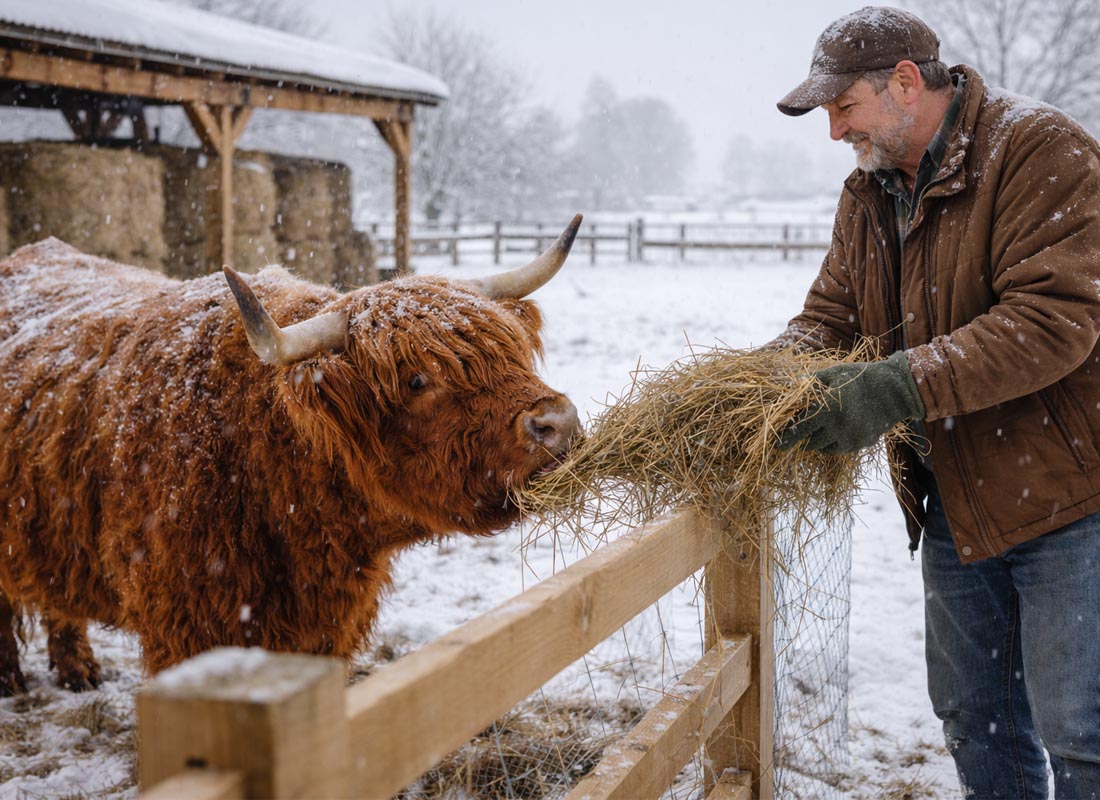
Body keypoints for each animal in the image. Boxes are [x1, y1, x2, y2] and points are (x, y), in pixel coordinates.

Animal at [0, 217, 583, 694]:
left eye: (513, 349)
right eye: (418, 379)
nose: (558, 423)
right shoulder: (186, 620)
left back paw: (77, 670)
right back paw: (13, 679)